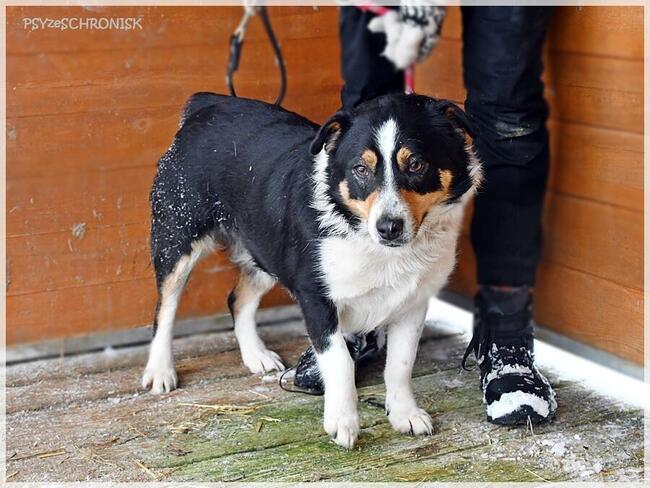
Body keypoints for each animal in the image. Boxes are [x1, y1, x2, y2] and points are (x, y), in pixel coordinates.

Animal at [142, 90, 480, 446]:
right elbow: (340, 361)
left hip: (265, 249)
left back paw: (255, 354)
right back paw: (160, 370)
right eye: (361, 169)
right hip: (176, 240)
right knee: (165, 310)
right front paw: (343, 421)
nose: (389, 227)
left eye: (416, 164)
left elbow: (400, 364)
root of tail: (206, 103)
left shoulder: (413, 303)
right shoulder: (316, 297)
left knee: (237, 299)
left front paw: (404, 413)